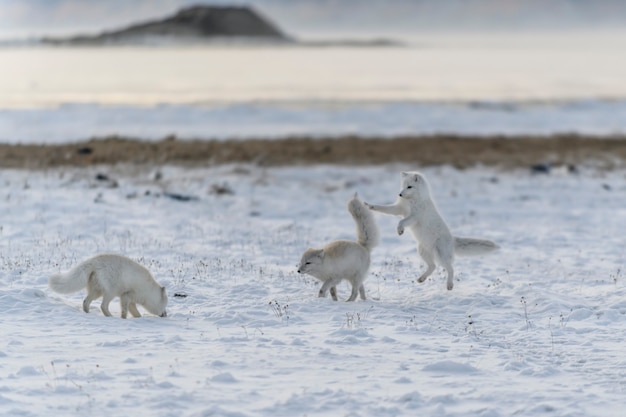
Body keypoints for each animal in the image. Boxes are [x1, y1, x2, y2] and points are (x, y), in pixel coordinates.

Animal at [364, 171, 494, 290]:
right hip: (422, 251)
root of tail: (452, 240)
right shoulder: (399, 209)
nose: (400, 194)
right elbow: (384, 208)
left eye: (409, 186)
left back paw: (449, 285)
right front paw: (369, 206)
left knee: (450, 268)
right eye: (403, 185)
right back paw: (421, 279)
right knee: (433, 266)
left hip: (441, 255)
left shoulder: (414, 217)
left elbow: (401, 222)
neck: (412, 200)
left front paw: (400, 230)